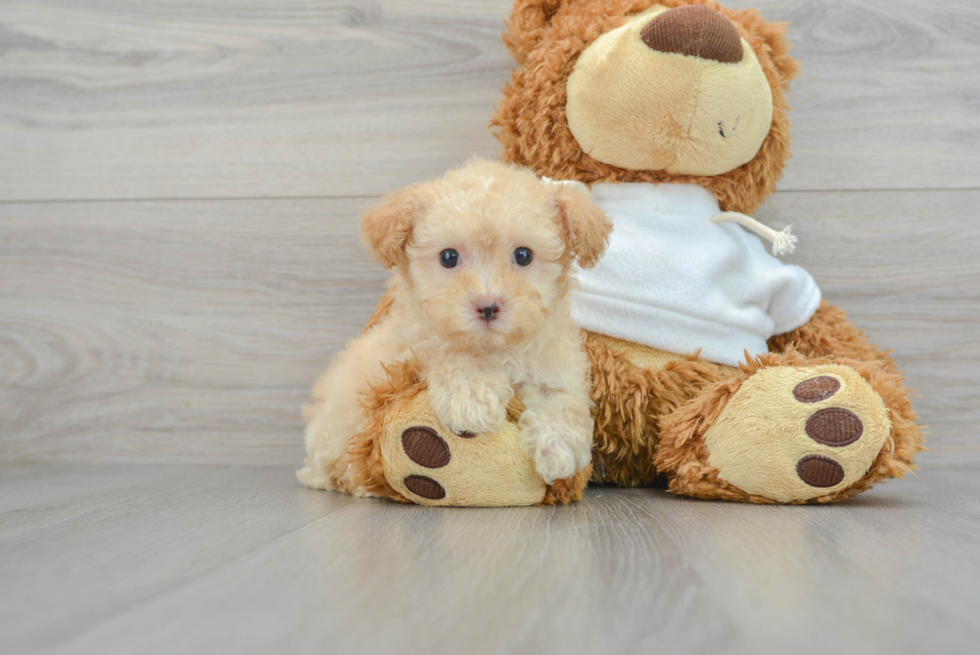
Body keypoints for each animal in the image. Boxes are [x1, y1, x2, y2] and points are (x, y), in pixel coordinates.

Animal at [296, 161, 612, 494]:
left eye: (523, 255)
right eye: (448, 257)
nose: (488, 306)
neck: (494, 348)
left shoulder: (554, 357)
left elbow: (561, 396)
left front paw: (558, 443)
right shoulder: (410, 349)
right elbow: (450, 353)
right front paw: (472, 397)